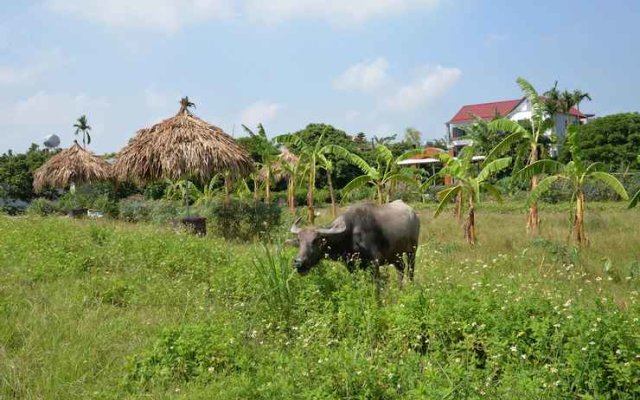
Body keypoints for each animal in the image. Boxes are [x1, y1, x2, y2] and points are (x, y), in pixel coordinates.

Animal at [288, 200, 420, 284]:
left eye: (315, 240)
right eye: (299, 240)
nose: (298, 263)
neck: (350, 235)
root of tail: (413, 214)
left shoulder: (374, 264)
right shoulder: (351, 266)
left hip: (412, 251)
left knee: (410, 270)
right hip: (395, 255)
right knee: (401, 268)